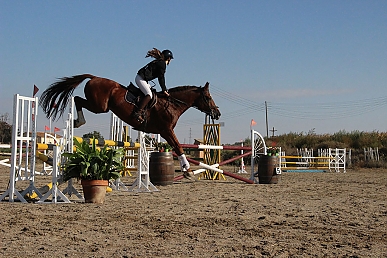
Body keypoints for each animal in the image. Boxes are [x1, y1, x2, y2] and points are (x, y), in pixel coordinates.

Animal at [40, 74, 221, 179]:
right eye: (207, 97)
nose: (217, 113)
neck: (171, 104)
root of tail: (94, 77)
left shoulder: (164, 131)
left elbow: (176, 147)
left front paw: (187, 171)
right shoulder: (166, 130)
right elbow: (178, 147)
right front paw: (188, 172)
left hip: (100, 106)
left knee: (78, 99)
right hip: (99, 106)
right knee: (77, 99)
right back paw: (79, 122)